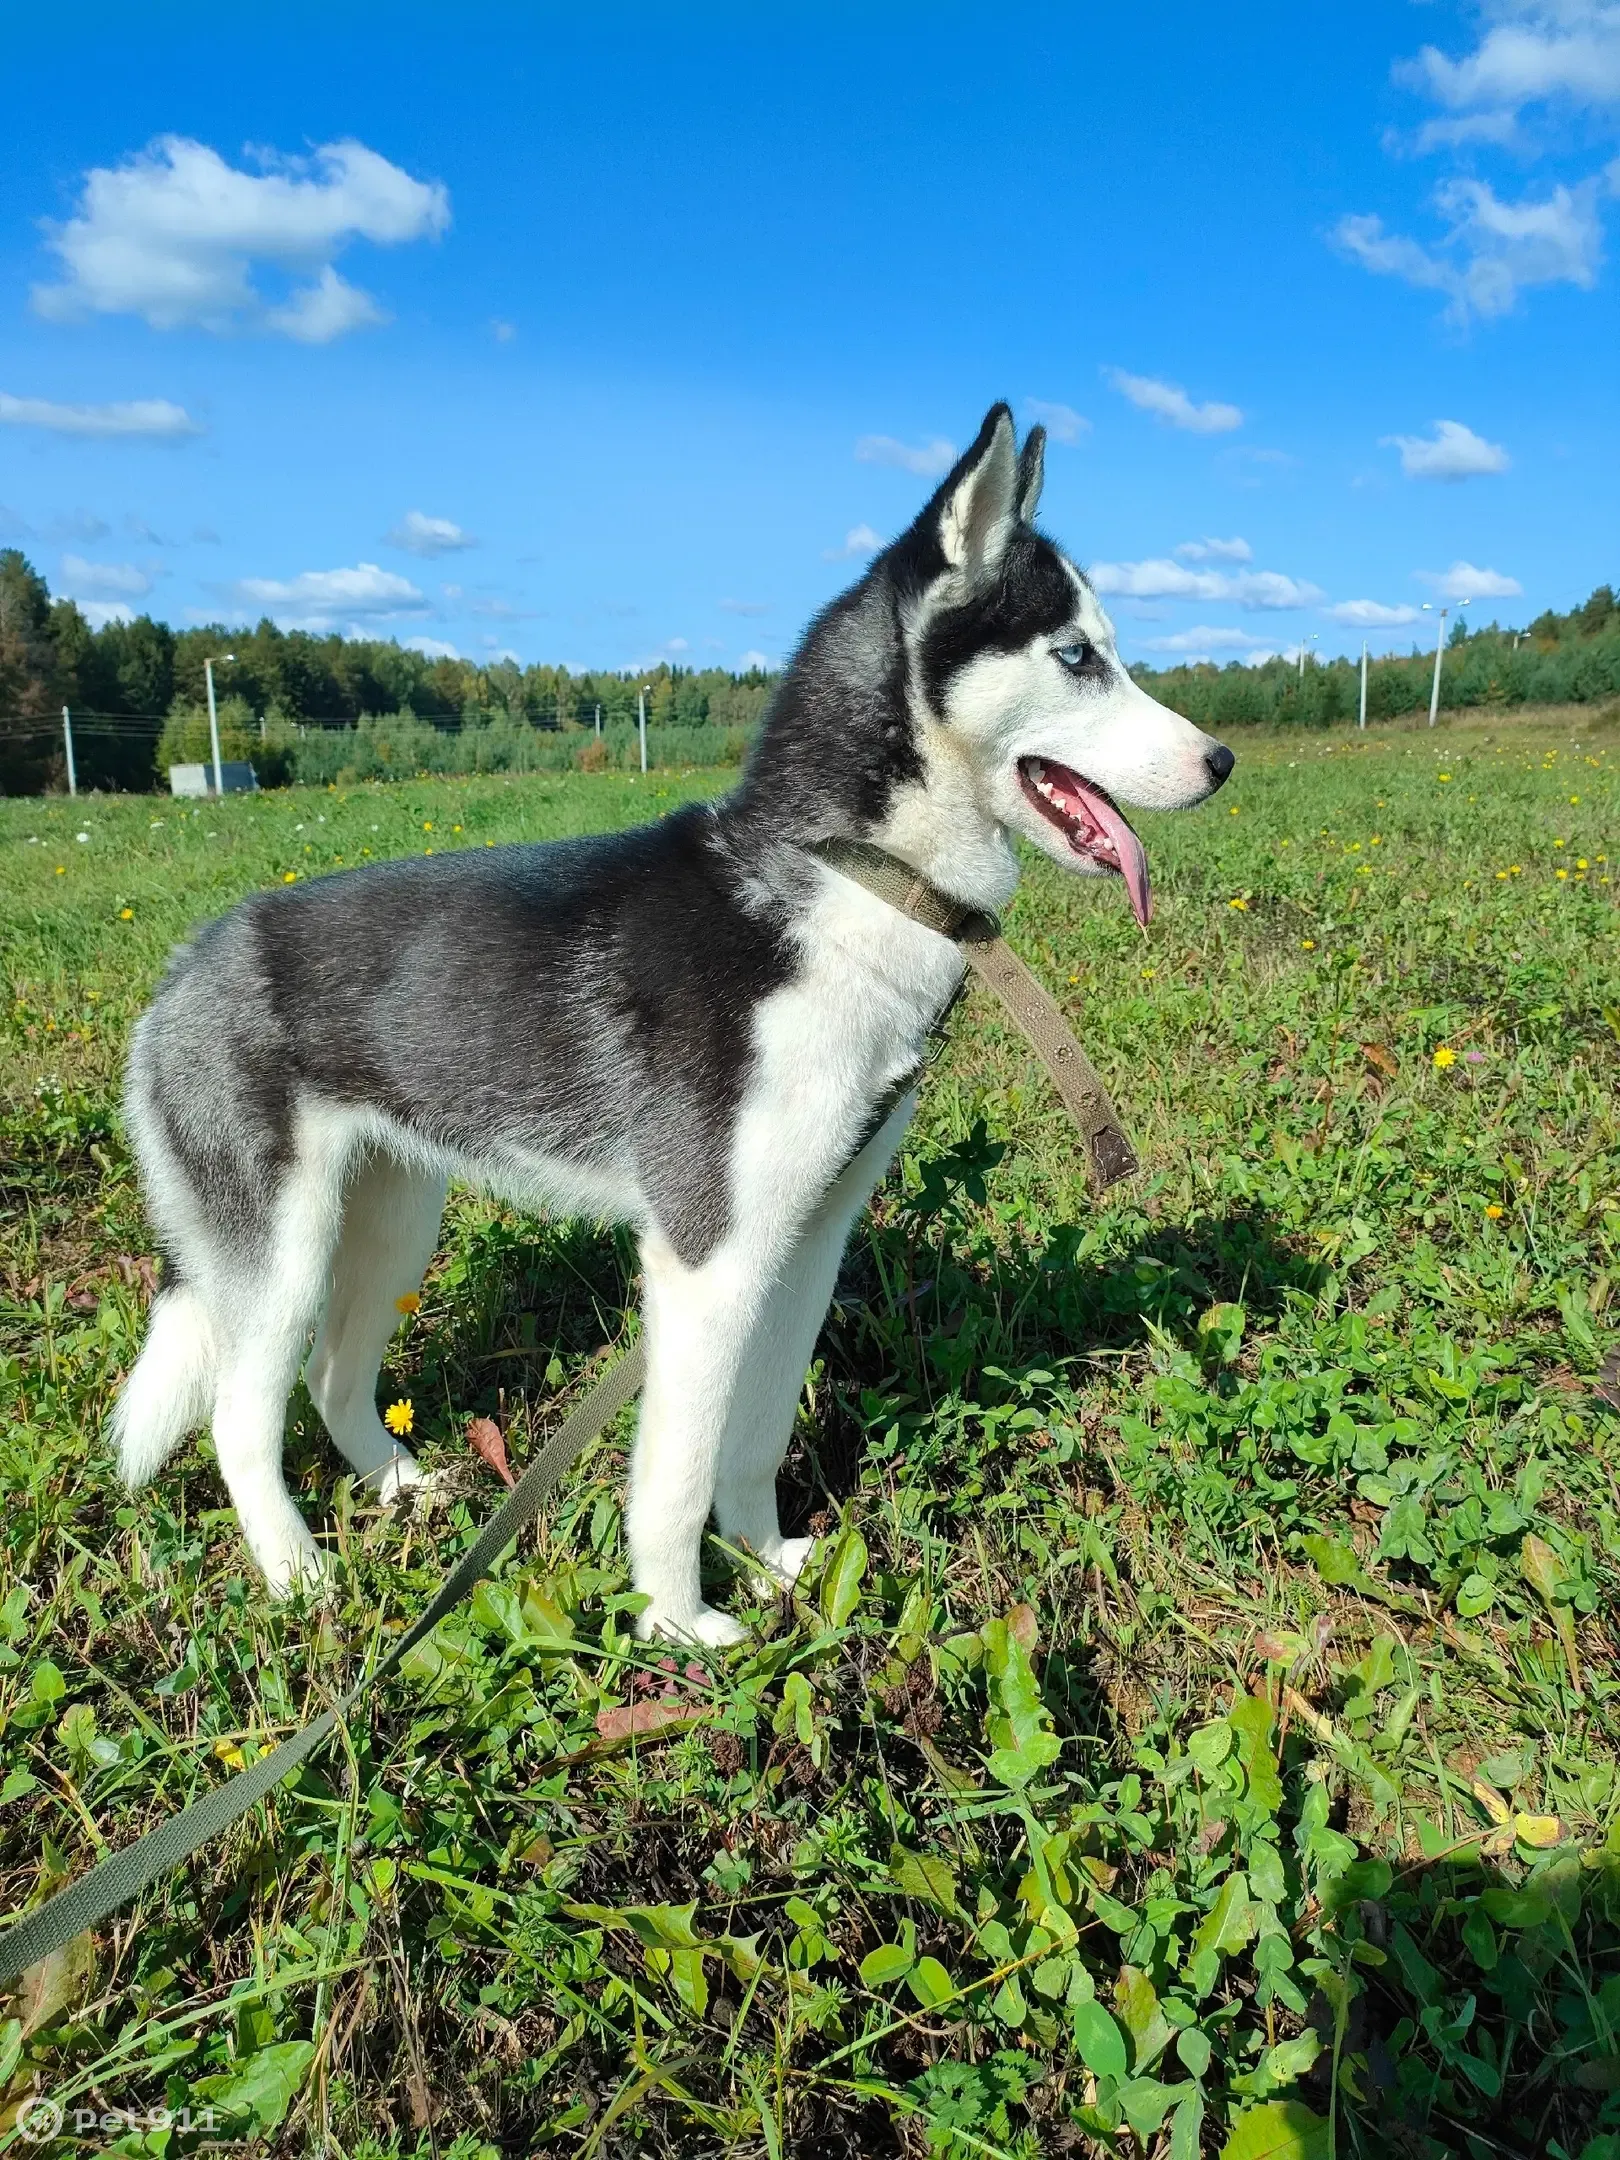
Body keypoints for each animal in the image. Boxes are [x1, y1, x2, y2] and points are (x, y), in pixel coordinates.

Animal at [111, 412, 1226, 1641]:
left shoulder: (806, 1242)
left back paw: (404, 1490)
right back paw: (299, 1576)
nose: (1222, 762)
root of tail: (184, 965)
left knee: (332, 1378)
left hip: (393, 1221)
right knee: (240, 1420)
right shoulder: (706, 1259)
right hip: (281, 1254)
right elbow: (677, 1471)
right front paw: (679, 1623)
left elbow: (755, 1438)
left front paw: (770, 1561)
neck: (846, 884)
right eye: (1078, 656)